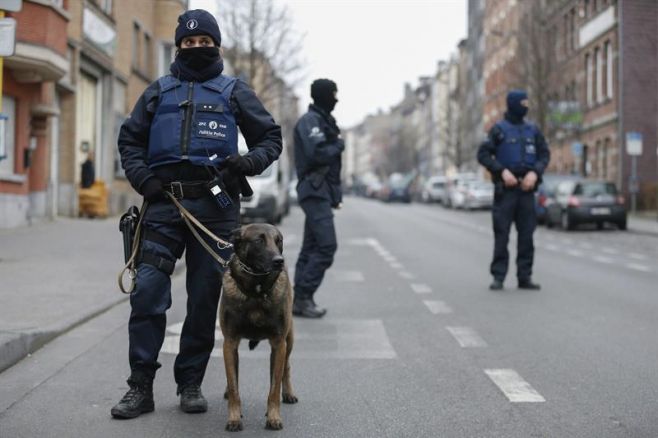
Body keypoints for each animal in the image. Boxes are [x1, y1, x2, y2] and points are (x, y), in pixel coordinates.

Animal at [218, 224, 298, 430]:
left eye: (279, 241)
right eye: (258, 241)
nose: (279, 261)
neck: (256, 291)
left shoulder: (278, 344)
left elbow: (274, 388)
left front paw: (273, 417)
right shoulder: (230, 343)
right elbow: (233, 384)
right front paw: (234, 417)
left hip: (289, 341)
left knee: (286, 367)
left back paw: (288, 393)